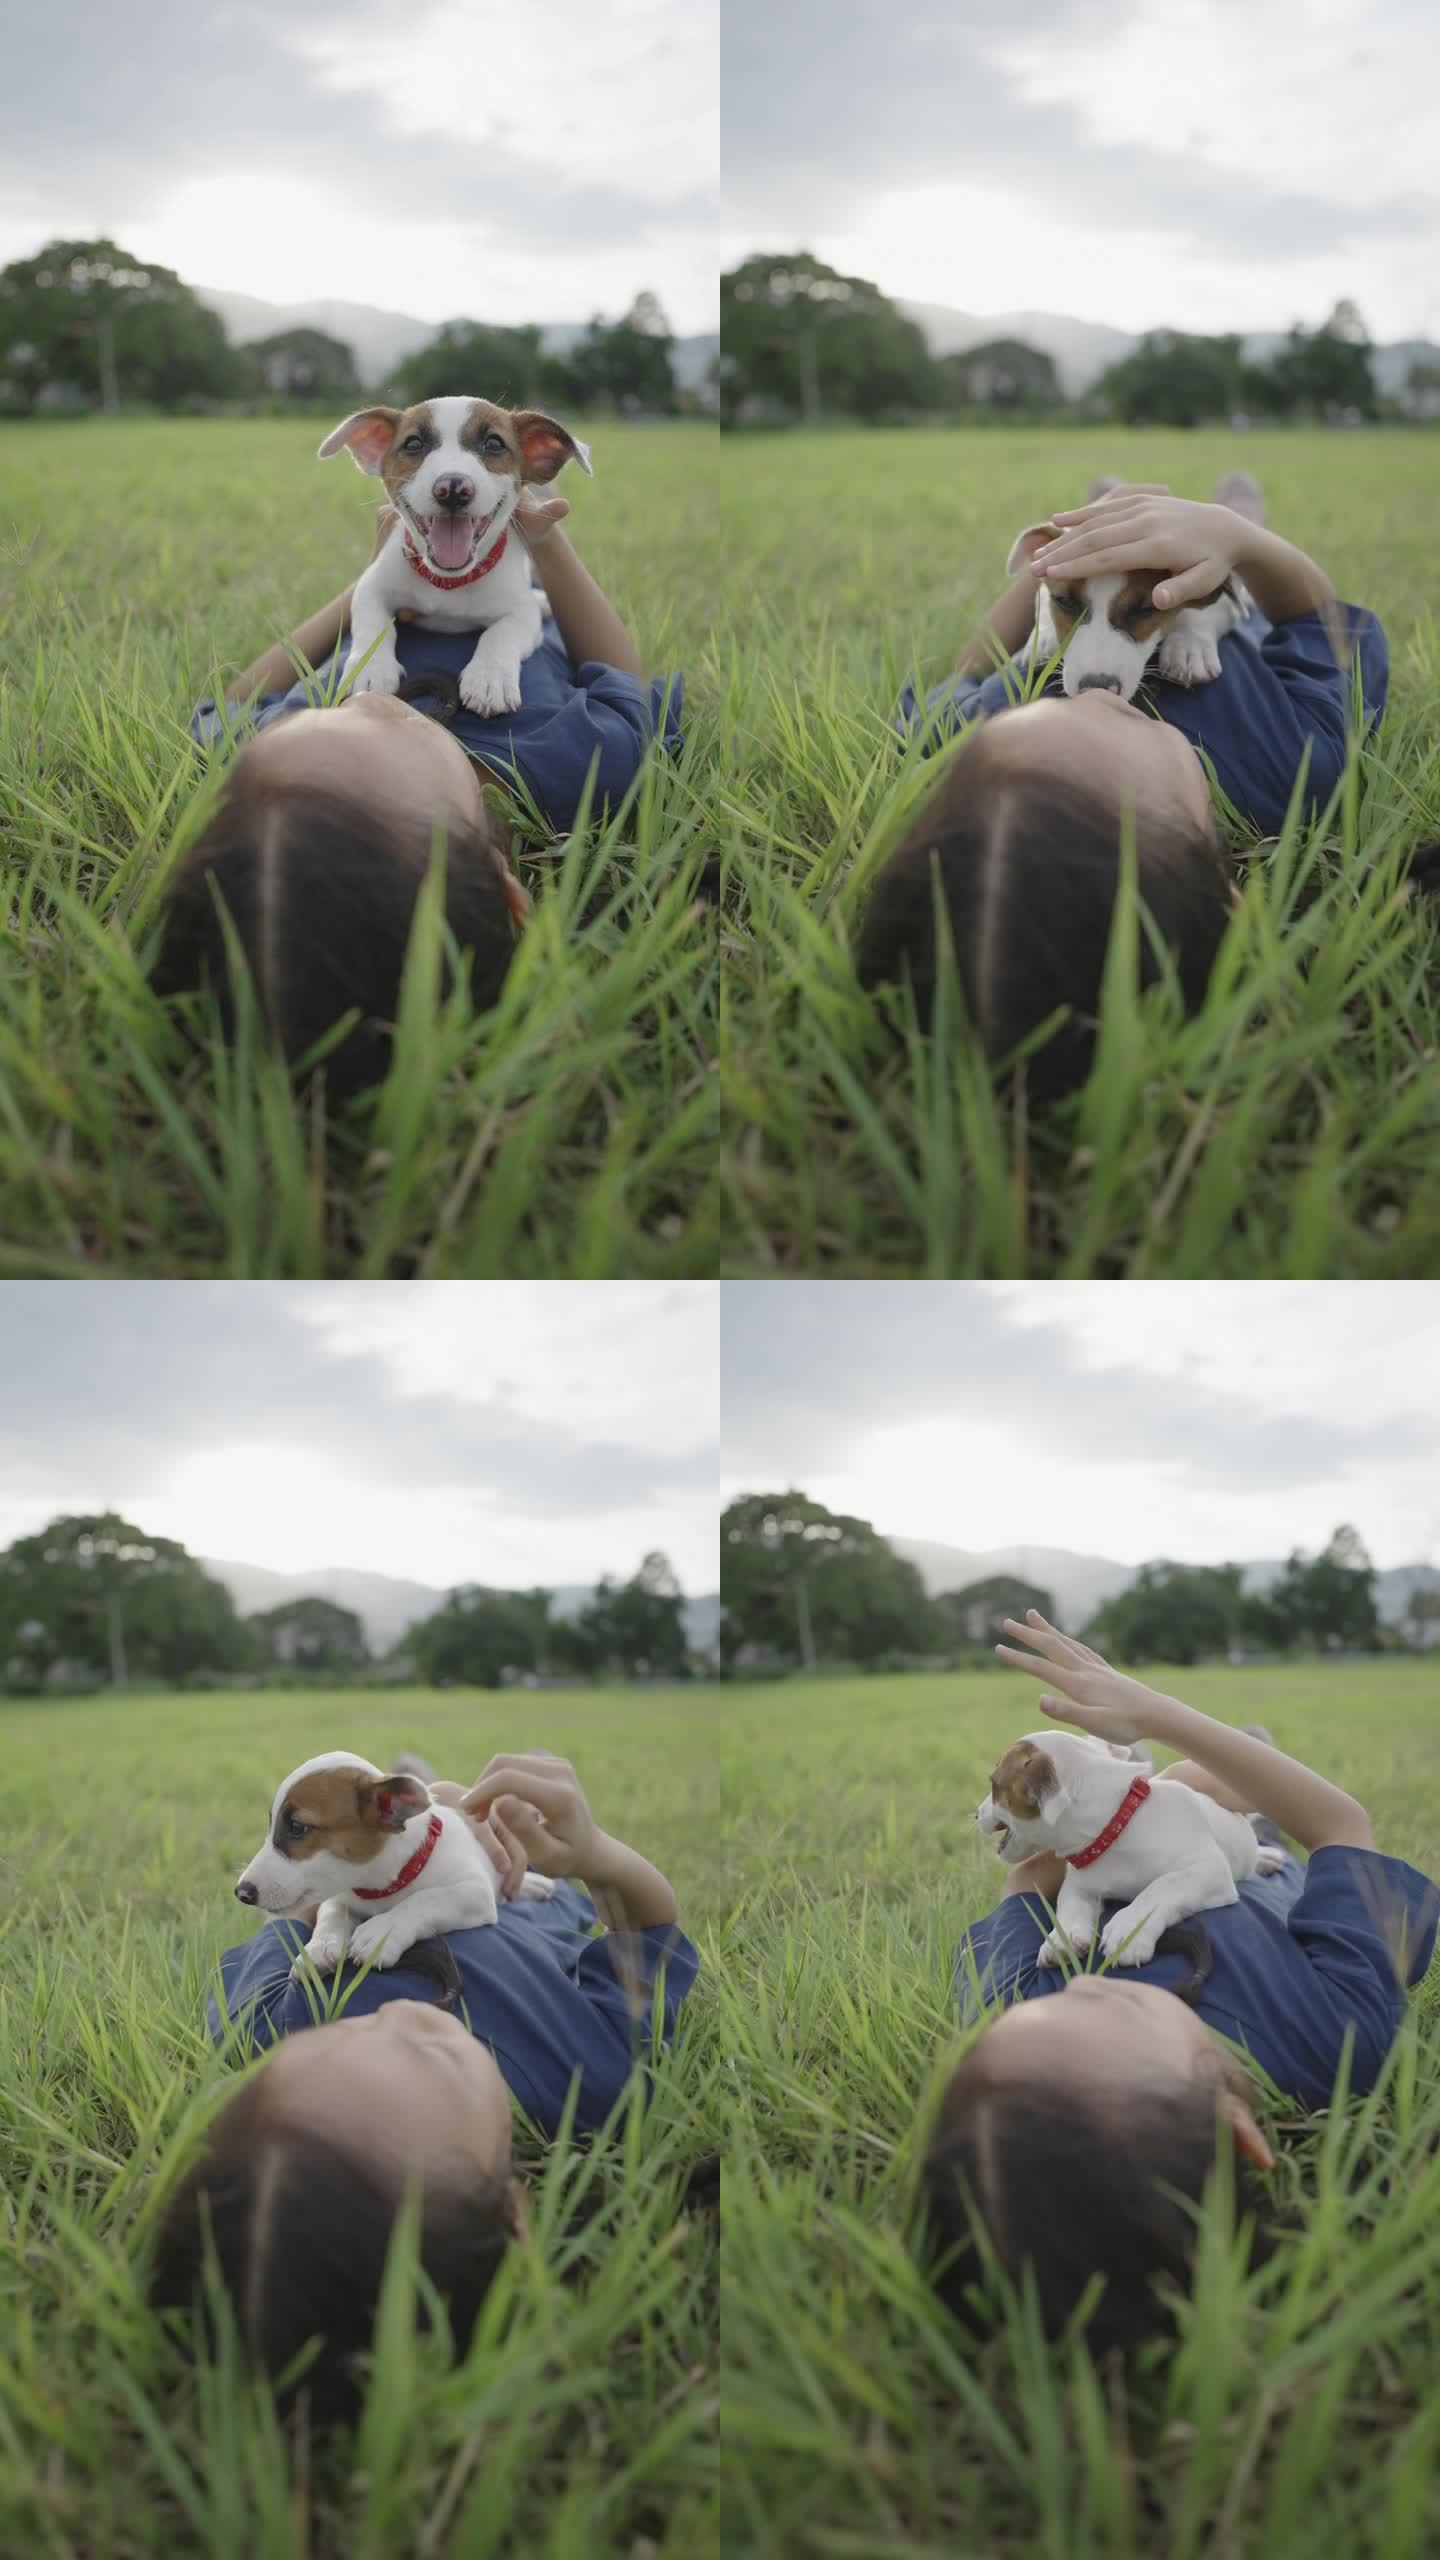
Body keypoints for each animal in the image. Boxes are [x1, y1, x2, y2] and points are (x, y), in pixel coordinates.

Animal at [233, 1751, 550, 1986]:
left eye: (298, 1827)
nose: (242, 1892)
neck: (377, 1887)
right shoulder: (339, 1897)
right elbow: (330, 1916)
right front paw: (319, 1947)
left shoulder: (473, 1892)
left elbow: (426, 1898)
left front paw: (383, 1931)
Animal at [317, 396, 589, 721]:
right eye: (413, 443)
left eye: (494, 443)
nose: (453, 488)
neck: (449, 582)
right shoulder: (372, 586)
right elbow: (373, 623)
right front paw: (369, 667)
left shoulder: (522, 612)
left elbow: (500, 633)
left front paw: (489, 677)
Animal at [968, 1730, 1281, 1966]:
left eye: (993, 1784)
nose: (975, 1814)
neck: (1114, 1827)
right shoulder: (1081, 1886)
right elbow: (1068, 1905)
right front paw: (1062, 1938)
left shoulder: (1207, 1869)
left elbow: (1161, 1887)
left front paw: (1128, 1929)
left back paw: (1266, 1858)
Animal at [1004, 504, 1250, 701]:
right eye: (1064, 601)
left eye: (1147, 609)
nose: (1097, 687)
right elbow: (1042, 599)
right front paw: (1043, 639)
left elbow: (1198, 605)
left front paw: (1189, 646)